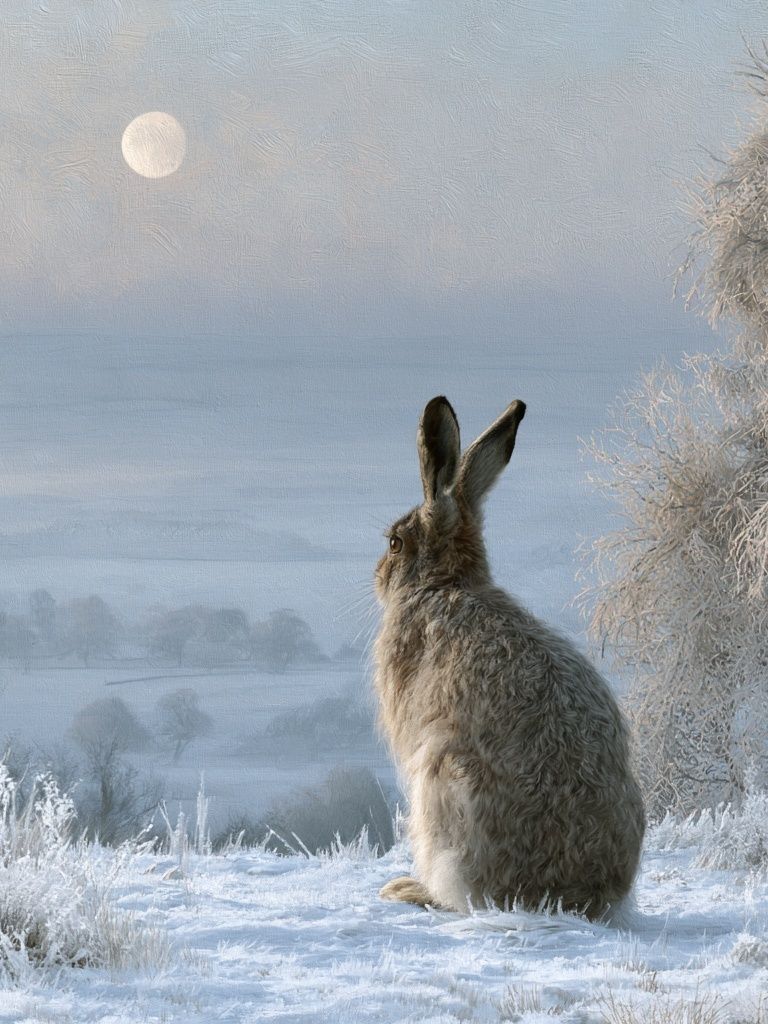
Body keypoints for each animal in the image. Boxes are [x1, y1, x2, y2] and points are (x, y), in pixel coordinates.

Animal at [373, 396, 645, 920]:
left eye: (395, 543)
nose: (377, 574)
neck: (446, 583)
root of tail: (573, 896)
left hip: (443, 781)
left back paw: (412, 890)